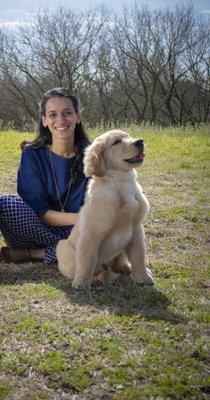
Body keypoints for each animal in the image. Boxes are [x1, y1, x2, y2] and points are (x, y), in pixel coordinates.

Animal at [56, 130, 153, 290]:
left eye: (128, 136)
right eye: (116, 142)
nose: (140, 142)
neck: (121, 181)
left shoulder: (136, 227)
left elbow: (139, 255)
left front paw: (143, 277)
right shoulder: (93, 231)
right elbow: (88, 259)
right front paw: (82, 282)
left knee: (119, 261)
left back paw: (126, 268)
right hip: (62, 247)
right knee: (97, 270)